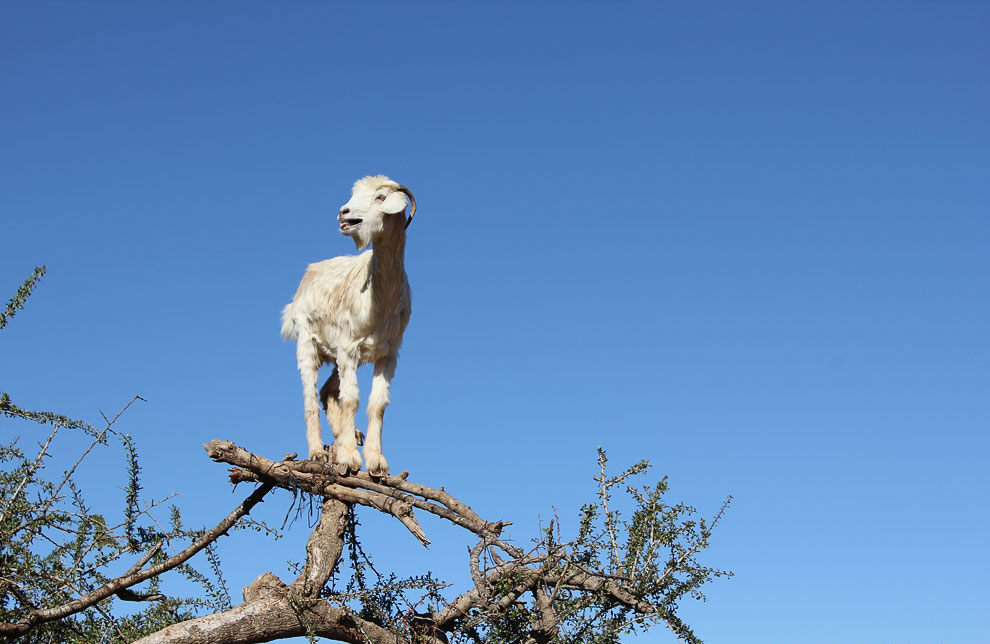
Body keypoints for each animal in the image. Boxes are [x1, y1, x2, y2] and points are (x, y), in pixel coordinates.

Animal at [280, 174, 416, 476]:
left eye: (380, 197)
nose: (344, 212)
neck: (380, 300)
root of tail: (309, 272)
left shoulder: (387, 354)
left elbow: (377, 404)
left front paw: (377, 463)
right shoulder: (349, 348)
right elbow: (352, 399)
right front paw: (349, 457)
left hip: (336, 355)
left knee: (328, 390)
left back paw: (347, 435)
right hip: (308, 344)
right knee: (310, 398)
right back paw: (319, 452)